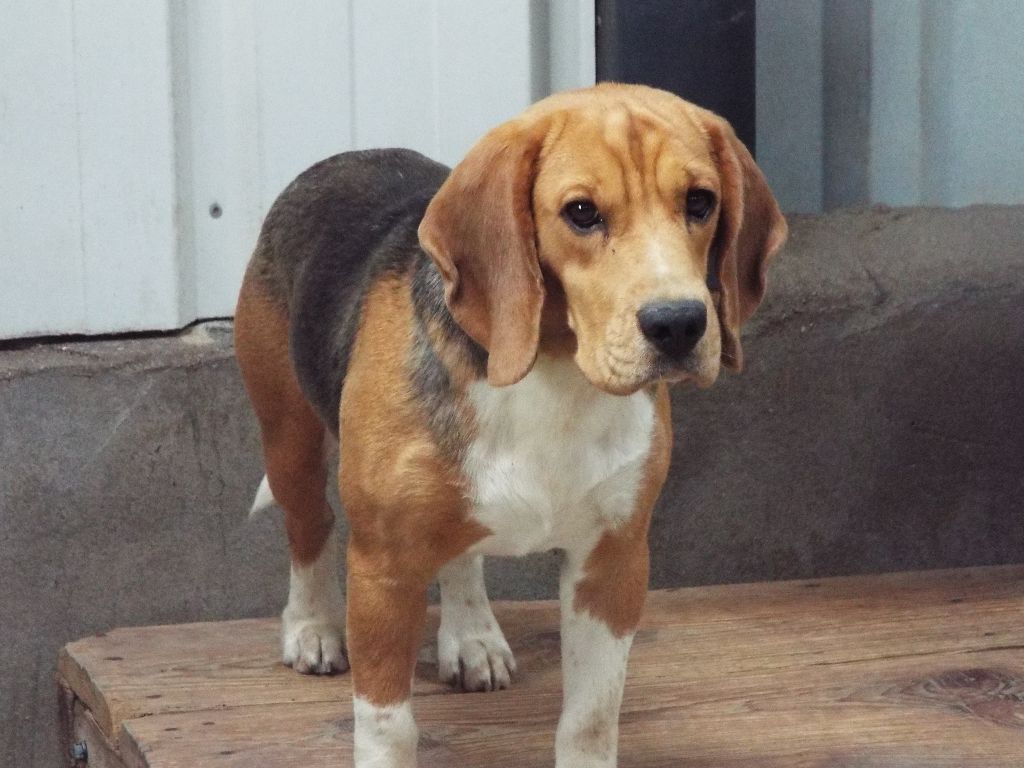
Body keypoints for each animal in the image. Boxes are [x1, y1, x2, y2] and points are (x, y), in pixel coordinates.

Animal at [235, 83, 786, 768]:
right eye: (581, 212)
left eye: (701, 202)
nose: (679, 323)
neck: (555, 376)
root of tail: (349, 157)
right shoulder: (384, 569)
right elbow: (389, 728)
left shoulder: (614, 561)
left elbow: (591, 719)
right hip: (289, 439)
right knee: (309, 527)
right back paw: (311, 628)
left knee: (460, 553)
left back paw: (471, 634)